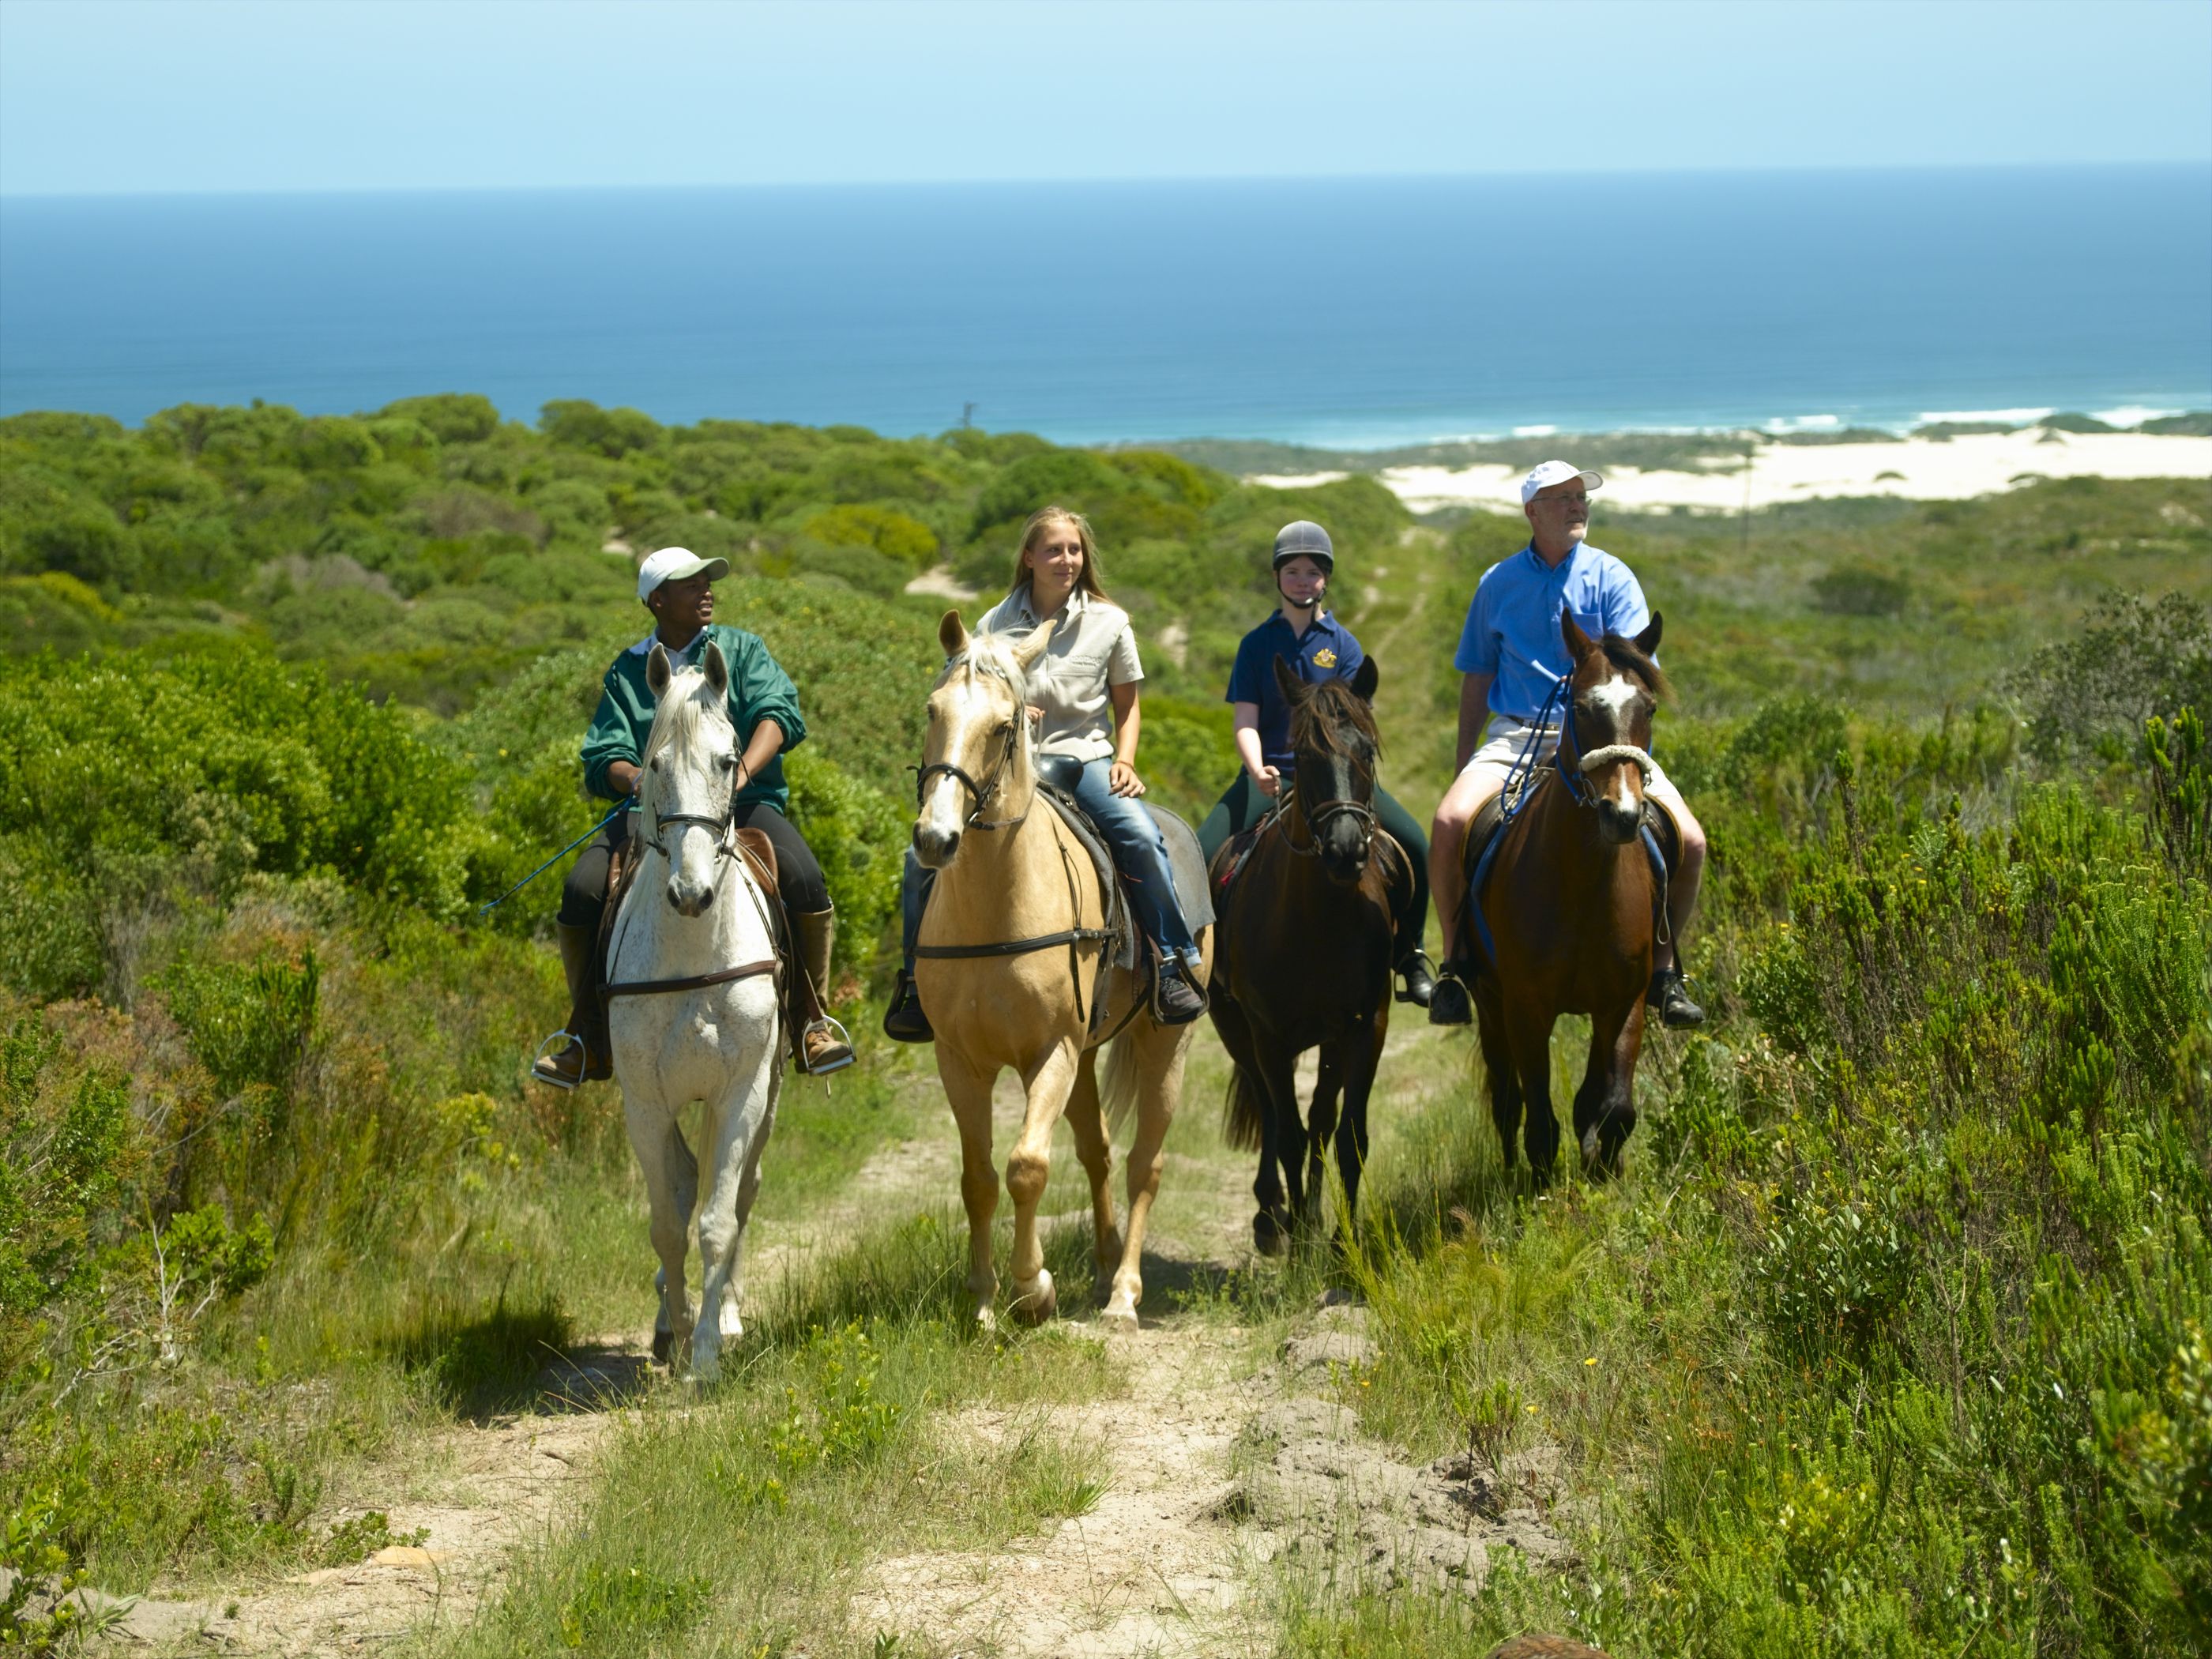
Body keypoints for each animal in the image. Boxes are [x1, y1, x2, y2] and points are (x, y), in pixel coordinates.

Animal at [924, 610, 1221, 1327]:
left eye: (1003, 725)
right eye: (932, 710)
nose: (935, 839)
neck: (996, 907)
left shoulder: (1050, 1052)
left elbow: (1027, 1166)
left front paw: (1032, 1289)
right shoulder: (959, 1060)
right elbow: (978, 1178)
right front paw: (983, 1301)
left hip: (1165, 1046)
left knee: (1145, 1163)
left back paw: (1124, 1296)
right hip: (1087, 1058)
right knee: (1099, 1151)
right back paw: (1108, 1260)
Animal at [1212, 654, 1398, 1256]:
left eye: (1366, 750)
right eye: (1306, 754)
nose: (1345, 850)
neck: (1318, 921)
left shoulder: (1364, 1028)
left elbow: (1346, 1135)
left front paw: (1341, 1243)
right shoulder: (1268, 1037)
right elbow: (1289, 1134)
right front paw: (1295, 1243)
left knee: (1319, 1119)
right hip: (1238, 1032)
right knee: (1274, 1114)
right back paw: (1272, 1215)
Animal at [1469, 615, 1672, 1185]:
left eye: (1648, 708)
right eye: (1580, 708)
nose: (1622, 816)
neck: (1583, 883)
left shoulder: (1623, 1004)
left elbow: (1614, 1106)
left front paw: (1602, 1168)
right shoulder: (1525, 1008)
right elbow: (1539, 1118)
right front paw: (1539, 1187)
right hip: (1489, 1004)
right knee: (1507, 1099)